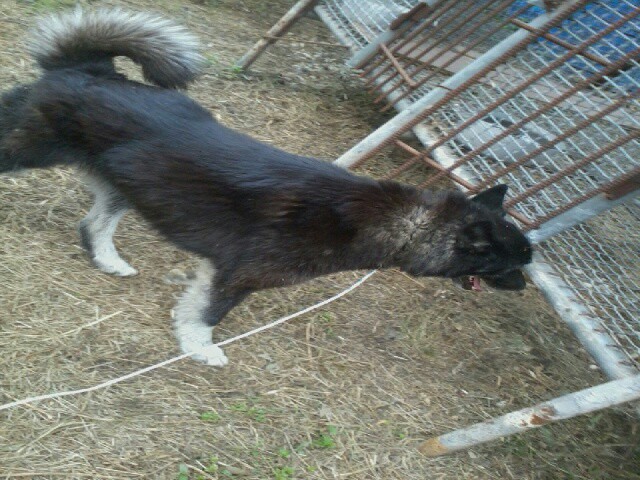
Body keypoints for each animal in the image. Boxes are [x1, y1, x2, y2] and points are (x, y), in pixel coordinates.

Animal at [0, 9, 532, 366]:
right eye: (513, 264)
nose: (527, 287)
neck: (404, 223)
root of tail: (91, 69)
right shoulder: (239, 275)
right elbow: (205, 317)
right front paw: (199, 351)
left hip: (127, 183)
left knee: (93, 227)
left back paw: (110, 261)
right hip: (28, 150)